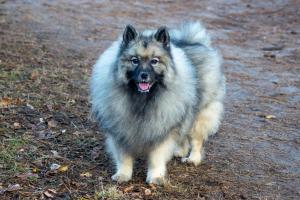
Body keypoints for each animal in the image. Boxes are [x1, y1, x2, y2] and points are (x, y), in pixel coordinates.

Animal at [91, 21, 225, 184]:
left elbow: (156, 158)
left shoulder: (161, 129)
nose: (144, 75)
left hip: (200, 114)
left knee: (196, 139)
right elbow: (124, 157)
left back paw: (193, 158)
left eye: (154, 61)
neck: (142, 99)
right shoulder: (121, 131)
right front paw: (123, 175)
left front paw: (155, 177)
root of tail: (194, 42)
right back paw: (180, 151)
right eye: (135, 60)